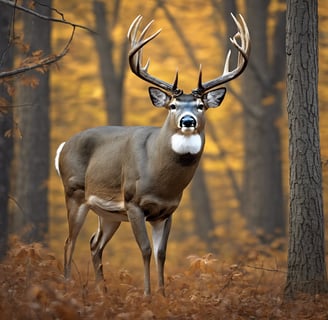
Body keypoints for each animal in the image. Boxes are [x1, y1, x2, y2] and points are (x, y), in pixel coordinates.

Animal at [55, 13, 250, 296]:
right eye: (173, 105)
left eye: (201, 105)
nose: (188, 121)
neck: (160, 179)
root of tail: (63, 146)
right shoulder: (133, 202)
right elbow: (146, 250)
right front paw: (147, 295)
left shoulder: (167, 211)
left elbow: (161, 253)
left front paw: (163, 294)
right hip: (74, 192)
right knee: (70, 241)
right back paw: (68, 286)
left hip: (109, 213)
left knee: (94, 243)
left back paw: (102, 291)